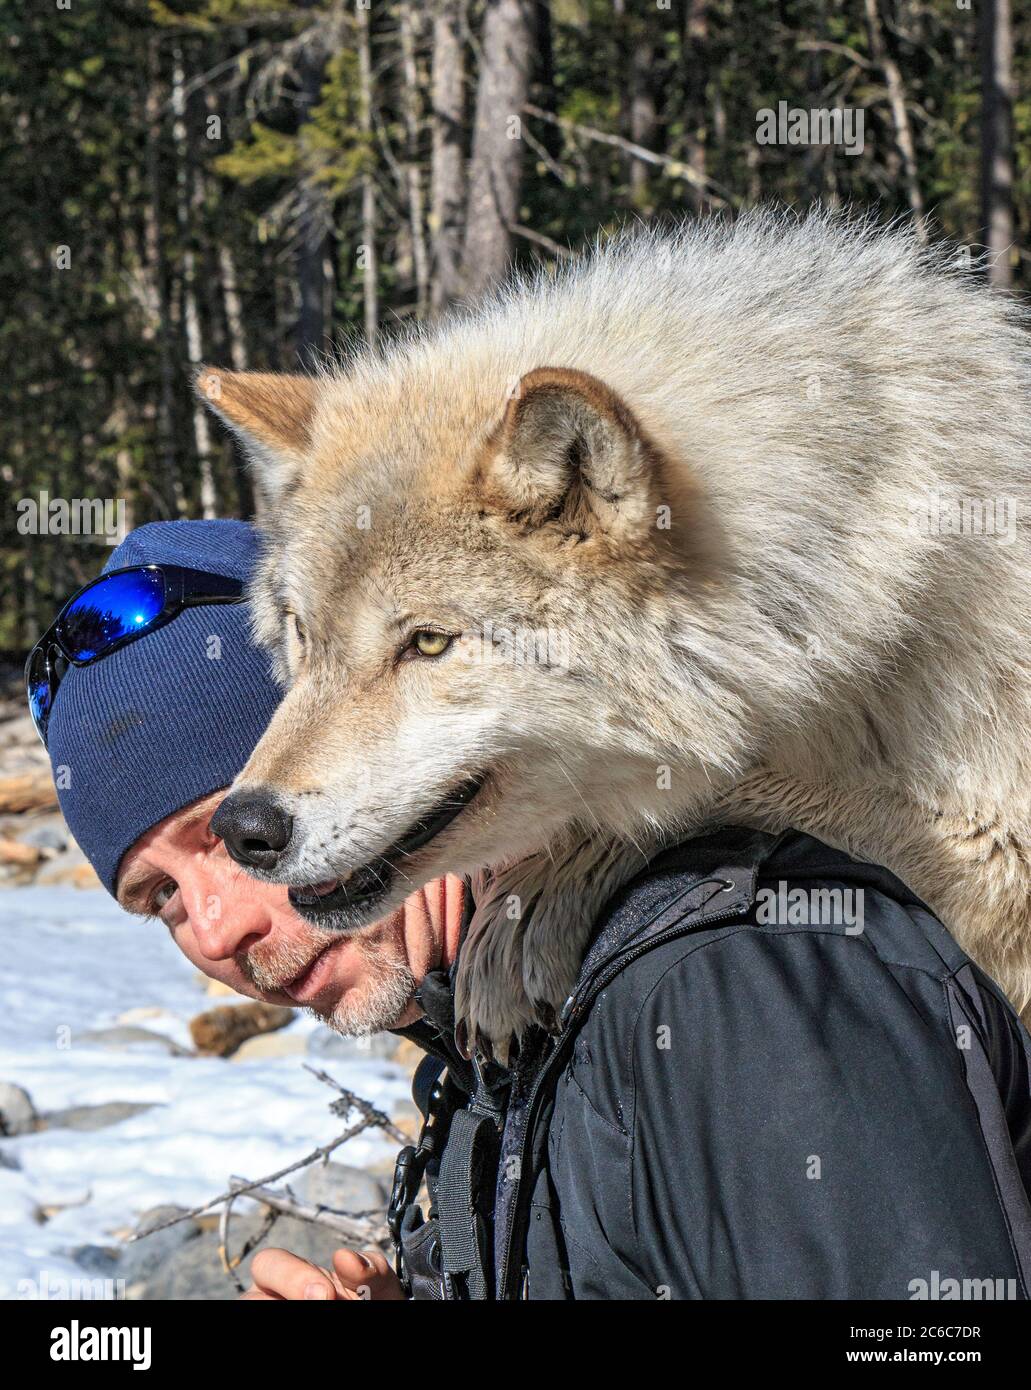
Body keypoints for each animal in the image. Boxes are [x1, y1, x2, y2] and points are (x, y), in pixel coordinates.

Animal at [201, 209, 1031, 1056]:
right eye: (303, 634)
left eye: (428, 643)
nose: (242, 827)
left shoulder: (997, 855)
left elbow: (712, 788)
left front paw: (524, 914)